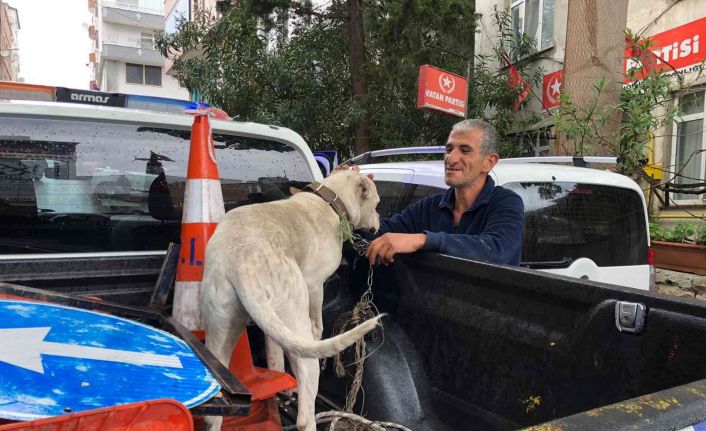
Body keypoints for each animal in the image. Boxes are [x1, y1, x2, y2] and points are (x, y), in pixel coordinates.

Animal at [201, 170, 382, 430]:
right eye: (377, 204)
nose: (379, 222)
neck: (329, 201)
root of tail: (242, 264)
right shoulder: (315, 286)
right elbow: (317, 324)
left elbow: (274, 354)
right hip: (295, 313)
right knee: (305, 412)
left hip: (220, 333)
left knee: (213, 412)